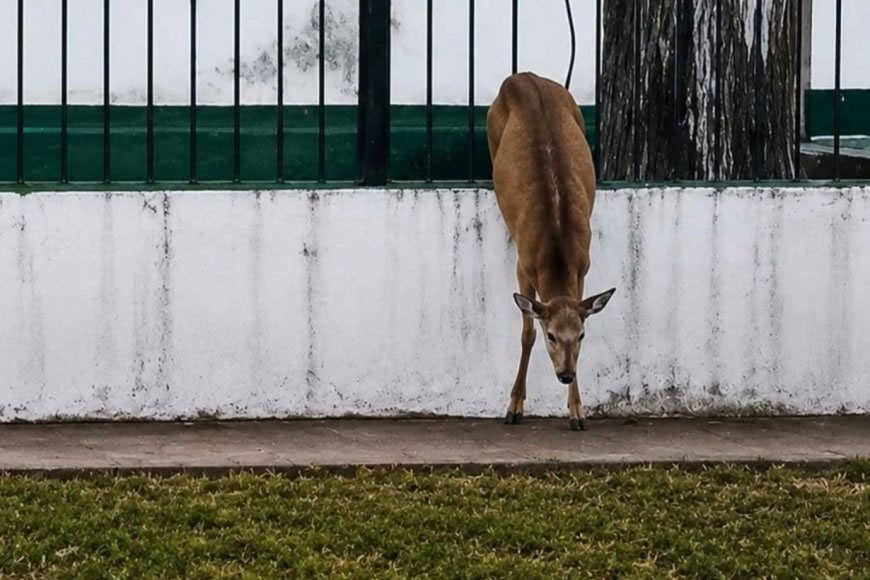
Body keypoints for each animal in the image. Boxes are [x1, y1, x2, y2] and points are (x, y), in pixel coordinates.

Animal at [486, 72, 615, 431]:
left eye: (581, 335)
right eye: (552, 336)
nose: (566, 374)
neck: (555, 249)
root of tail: (522, 75)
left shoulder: (583, 266)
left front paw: (577, 412)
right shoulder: (523, 263)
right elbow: (526, 332)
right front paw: (514, 407)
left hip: (579, 115)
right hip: (490, 130)